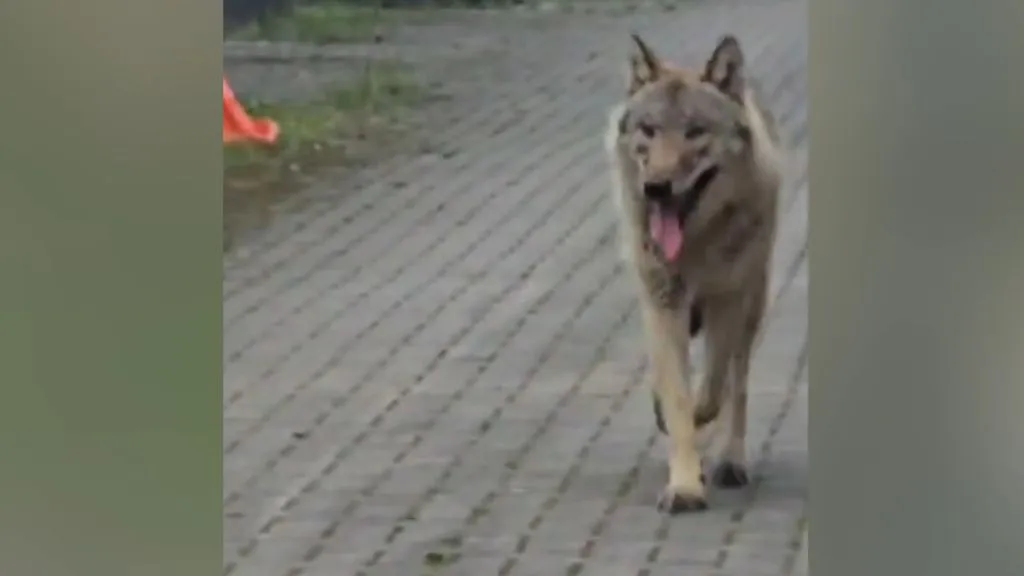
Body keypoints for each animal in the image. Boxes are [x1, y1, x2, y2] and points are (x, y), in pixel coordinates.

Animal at [604, 34, 784, 513]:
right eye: (649, 130)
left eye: (695, 132)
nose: (656, 188)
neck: (695, 244)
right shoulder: (663, 301)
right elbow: (678, 395)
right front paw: (684, 485)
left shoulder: (727, 302)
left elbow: (711, 390)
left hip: (753, 305)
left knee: (737, 387)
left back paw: (730, 461)